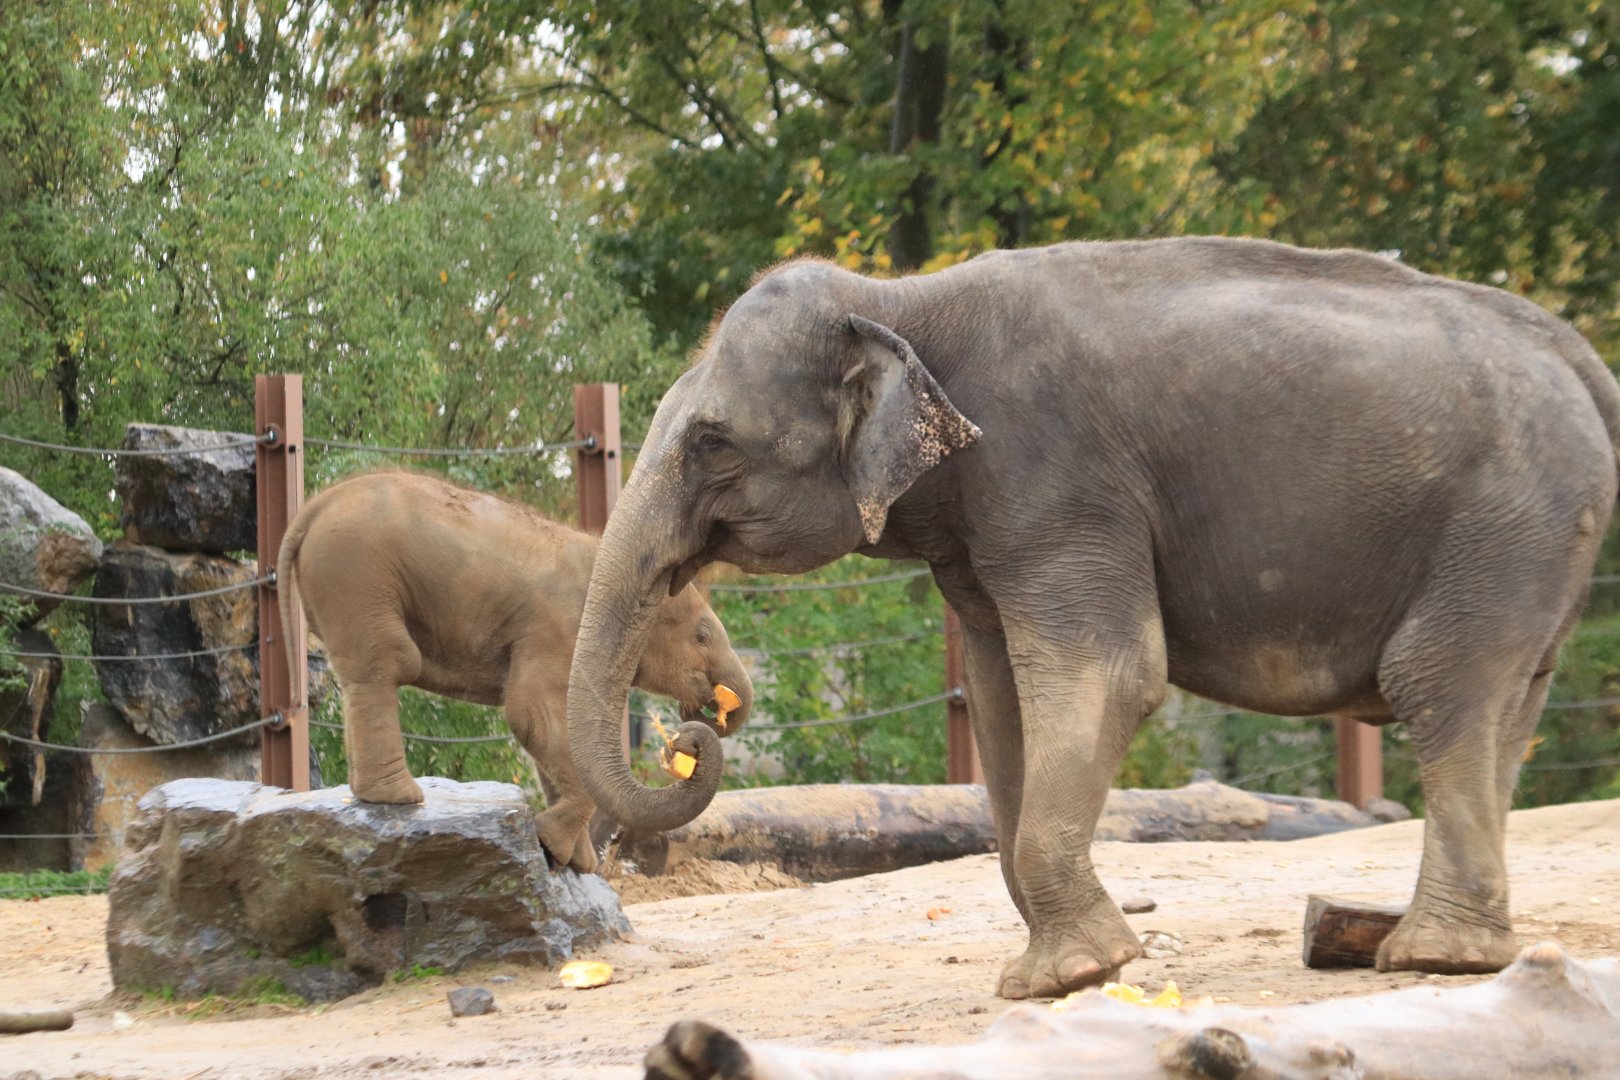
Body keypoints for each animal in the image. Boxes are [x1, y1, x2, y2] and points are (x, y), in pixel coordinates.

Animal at [276, 470, 751, 873]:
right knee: (386, 662)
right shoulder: (558, 629)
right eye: (702, 636)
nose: (693, 730)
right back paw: (399, 798)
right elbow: (534, 715)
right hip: (357, 575)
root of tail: (311, 509)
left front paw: (574, 863)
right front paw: (552, 845)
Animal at [565, 236, 1620, 999]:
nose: (694, 733)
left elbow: (1108, 673)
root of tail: (1576, 352)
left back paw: (1430, 957)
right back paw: (1461, 947)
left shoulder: (1058, 478)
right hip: (1528, 545)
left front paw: (1077, 974)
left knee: (1436, 682)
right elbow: (999, 700)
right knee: (1503, 701)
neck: (903, 302)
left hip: (1507, 516)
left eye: (711, 443)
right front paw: (1055, 971)